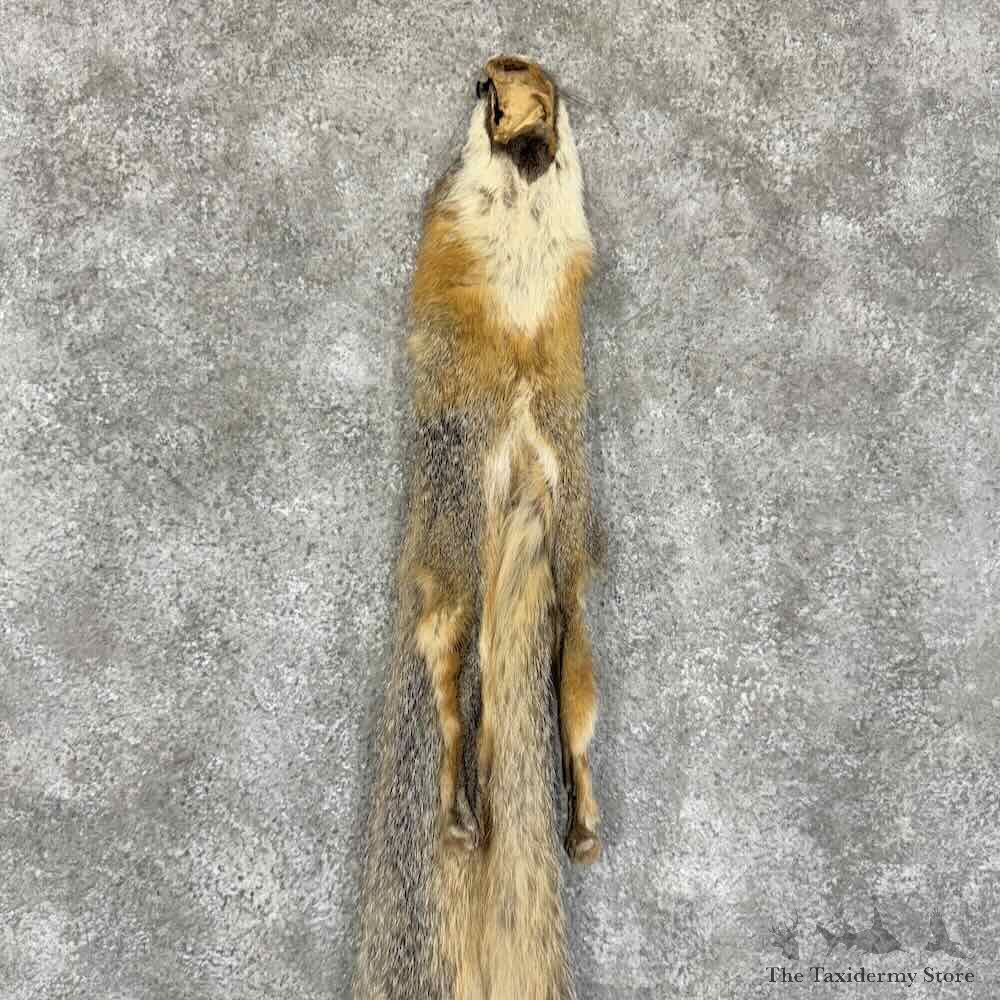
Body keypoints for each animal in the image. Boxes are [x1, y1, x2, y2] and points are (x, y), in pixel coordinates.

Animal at [353, 55, 603, 1000]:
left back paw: (479, 814)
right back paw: (568, 825)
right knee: (547, 705)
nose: (499, 72)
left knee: (464, 704)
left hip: (471, 581)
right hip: (540, 585)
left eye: (491, 86)